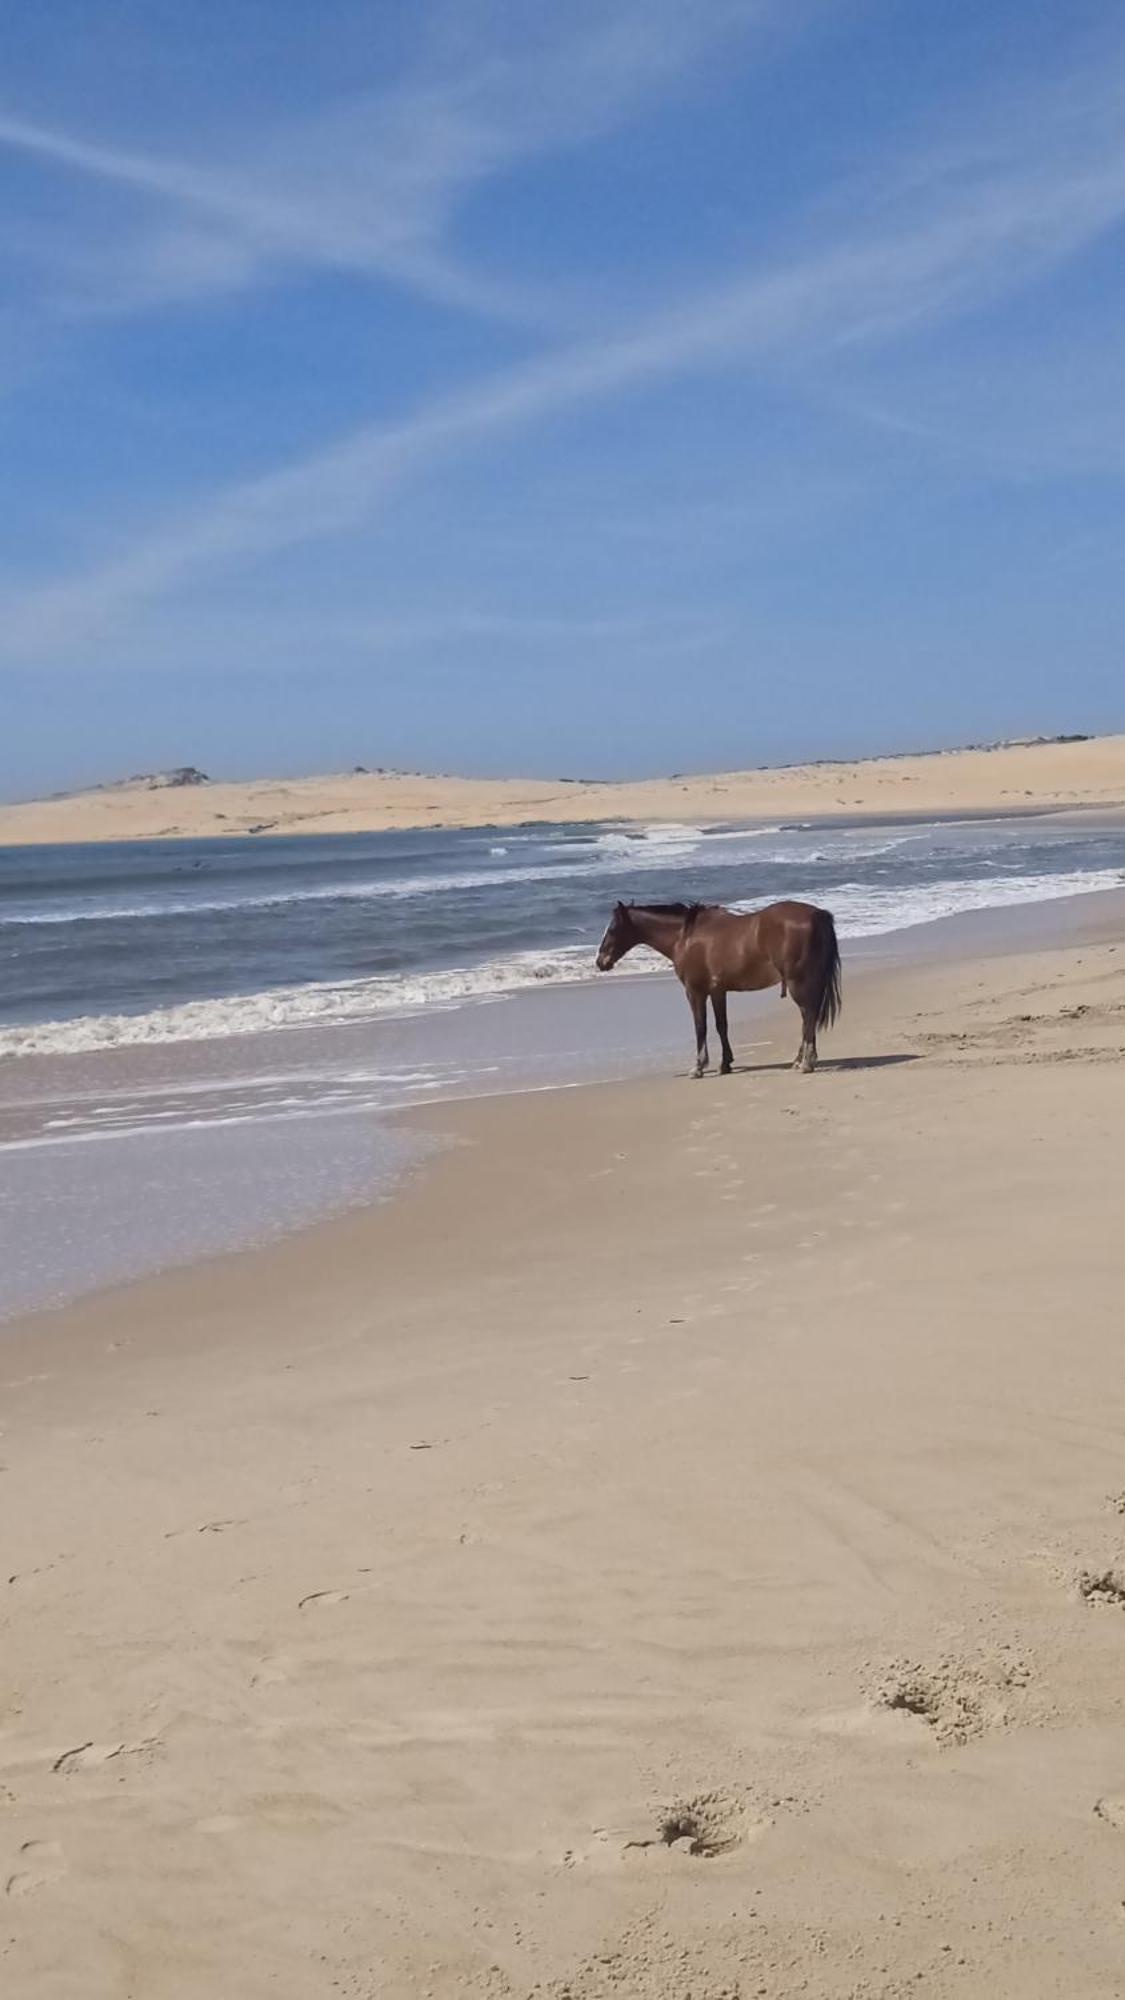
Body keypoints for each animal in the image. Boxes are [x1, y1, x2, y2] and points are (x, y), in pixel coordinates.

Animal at [596, 900, 840, 1072]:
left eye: (613, 929)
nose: (600, 962)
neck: (685, 937)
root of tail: (818, 914)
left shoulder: (695, 992)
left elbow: (700, 1026)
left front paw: (699, 1066)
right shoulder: (717, 991)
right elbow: (721, 1026)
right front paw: (725, 1064)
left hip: (798, 982)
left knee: (809, 1015)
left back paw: (806, 1062)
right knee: (808, 1017)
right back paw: (800, 1060)